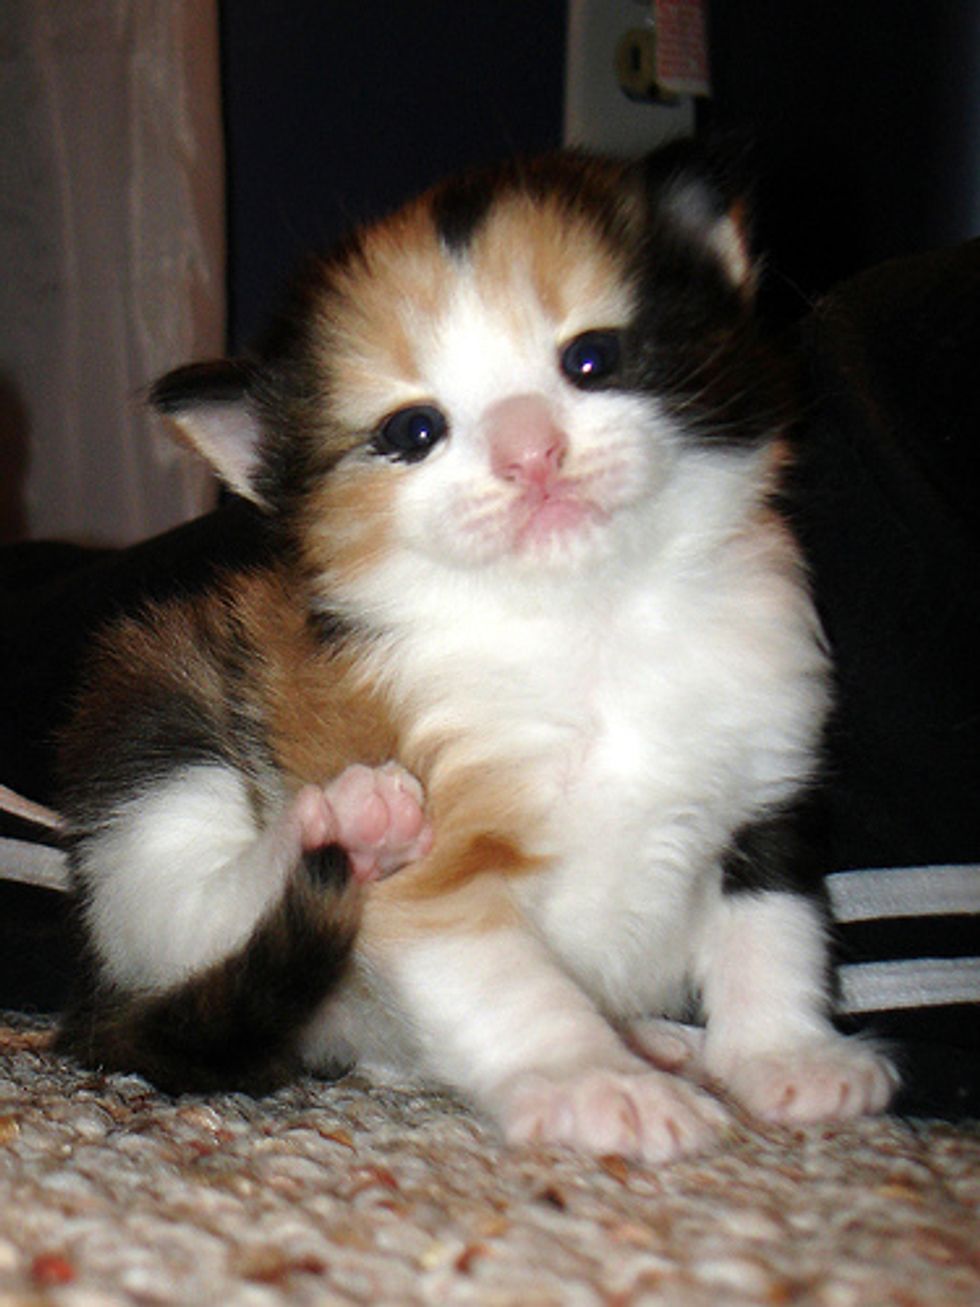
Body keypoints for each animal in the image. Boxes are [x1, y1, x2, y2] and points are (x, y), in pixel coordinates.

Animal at [55, 143, 898, 1160]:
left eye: (592, 359)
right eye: (413, 431)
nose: (529, 451)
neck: (591, 617)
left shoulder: (770, 769)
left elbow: (773, 921)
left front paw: (789, 1055)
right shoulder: (439, 846)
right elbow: (508, 978)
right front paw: (592, 1080)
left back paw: (657, 1037)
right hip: (168, 714)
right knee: (193, 905)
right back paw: (344, 825)